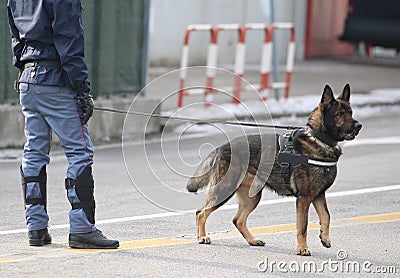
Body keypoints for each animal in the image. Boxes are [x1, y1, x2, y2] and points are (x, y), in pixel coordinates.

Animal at [188, 83, 362, 255]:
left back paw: (253, 240)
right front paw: (302, 248)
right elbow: (303, 226)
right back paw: (202, 237)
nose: (359, 126)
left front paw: (324, 238)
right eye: (339, 114)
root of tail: (221, 147)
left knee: (238, 220)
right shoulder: (304, 198)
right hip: (225, 190)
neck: (319, 139)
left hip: (252, 197)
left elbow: (326, 216)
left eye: (351, 112)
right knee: (201, 212)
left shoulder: (319, 195)